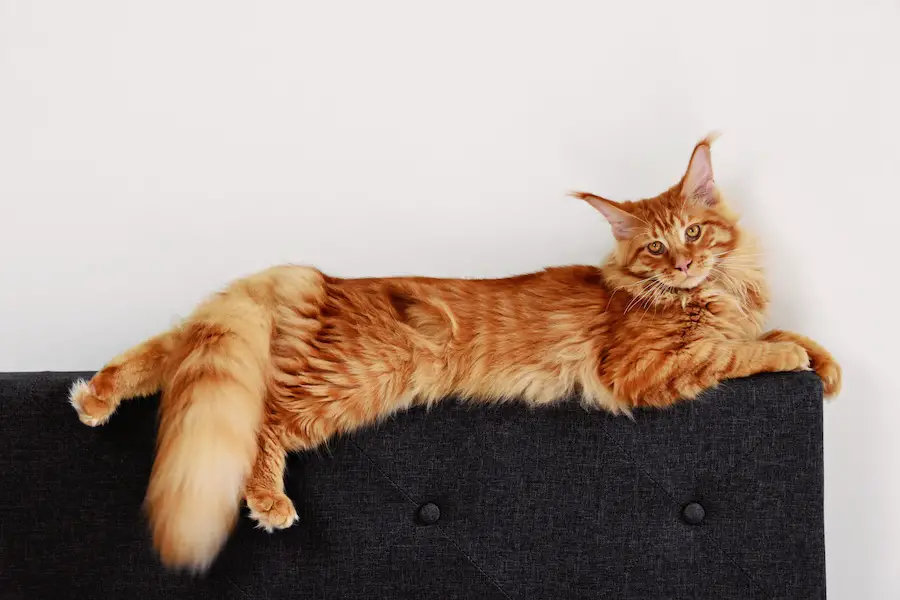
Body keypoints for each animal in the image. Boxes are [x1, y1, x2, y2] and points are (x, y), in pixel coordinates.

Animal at [68, 135, 836, 572]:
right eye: (654, 246)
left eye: (695, 233)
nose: (681, 264)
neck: (709, 294)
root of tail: (313, 278)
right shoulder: (642, 369)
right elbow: (735, 354)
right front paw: (790, 362)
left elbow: (779, 334)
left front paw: (824, 365)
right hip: (350, 383)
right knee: (263, 424)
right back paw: (269, 502)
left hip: (253, 345)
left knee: (171, 353)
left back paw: (93, 397)